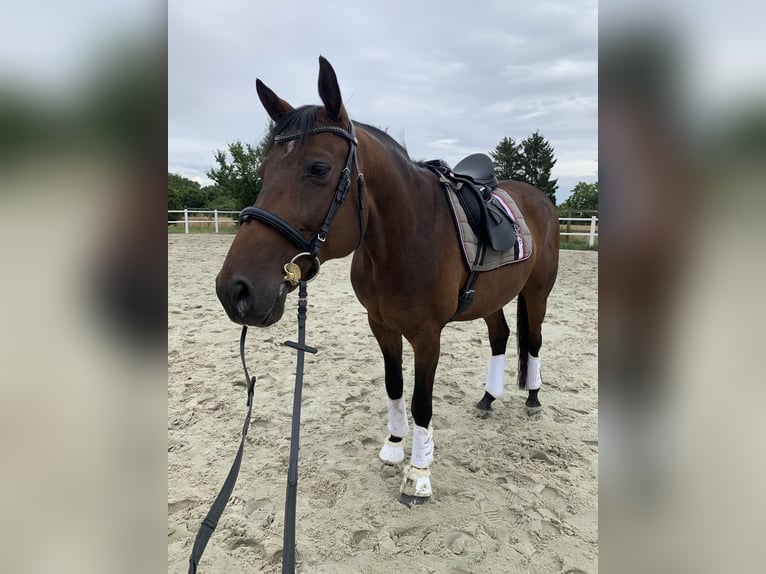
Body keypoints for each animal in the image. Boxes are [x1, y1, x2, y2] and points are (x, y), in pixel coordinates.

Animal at [215, 56, 559, 502]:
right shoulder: (380, 325)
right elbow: (394, 386)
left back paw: (533, 397)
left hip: (537, 293)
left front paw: (418, 474)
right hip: (493, 297)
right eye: (262, 170)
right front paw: (395, 447)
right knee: (500, 337)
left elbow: (421, 402)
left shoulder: (428, 335)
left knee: (532, 339)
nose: (234, 289)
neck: (407, 235)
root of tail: (540, 198)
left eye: (319, 168)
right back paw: (488, 398)